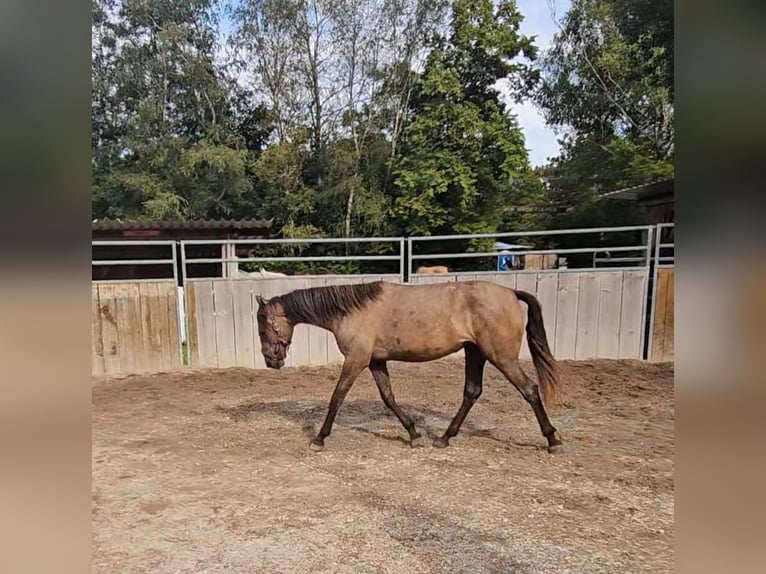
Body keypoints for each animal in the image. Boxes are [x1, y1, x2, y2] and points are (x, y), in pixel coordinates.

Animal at [258, 282, 564, 456]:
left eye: (263, 327)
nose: (271, 361)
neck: (353, 309)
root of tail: (511, 292)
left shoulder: (356, 360)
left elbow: (337, 398)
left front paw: (319, 439)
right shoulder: (375, 361)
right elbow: (388, 397)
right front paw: (414, 435)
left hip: (501, 357)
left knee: (529, 390)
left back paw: (553, 441)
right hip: (475, 352)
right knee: (472, 392)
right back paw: (444, 438)